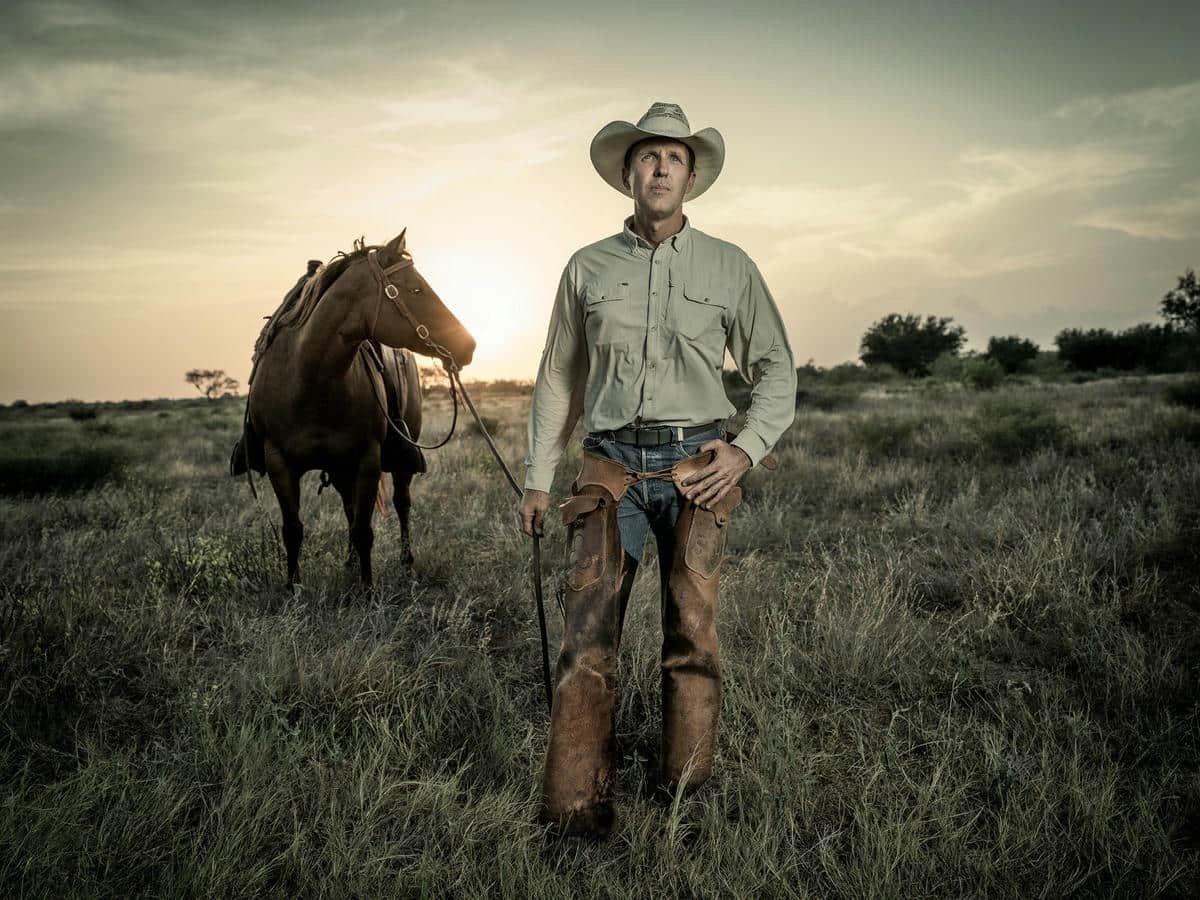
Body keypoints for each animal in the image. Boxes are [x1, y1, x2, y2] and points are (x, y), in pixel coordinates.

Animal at [240, 229, 472, 588]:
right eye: (416, 289)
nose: (468, 345)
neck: (310, 378)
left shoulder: (367, 460)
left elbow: (364, 531)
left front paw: (367, 590)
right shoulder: (280, 462)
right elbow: (293, 530)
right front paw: (293, 588)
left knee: (401, 503)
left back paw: (406, 564)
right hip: (338, 468)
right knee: (349, 507)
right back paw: (349, 564)